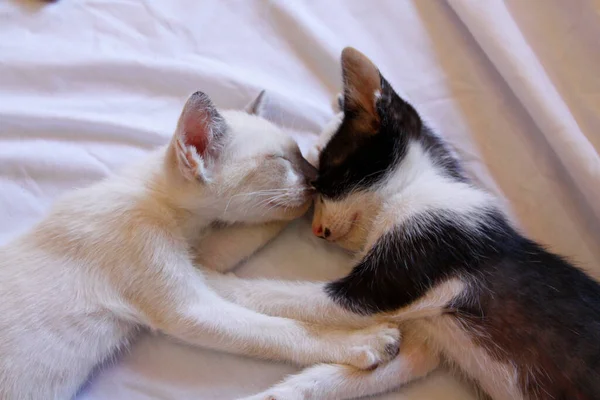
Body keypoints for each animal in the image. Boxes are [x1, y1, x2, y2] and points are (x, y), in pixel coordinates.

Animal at [1, 91, 404, 400]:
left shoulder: (202, 256)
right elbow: (280, 332)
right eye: (280, 161)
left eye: (300, 155)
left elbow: (258, 227)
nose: (317, 178)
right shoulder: (189, 308)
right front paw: (365, 344)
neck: (168, 211)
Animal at [210, 47, 600, 400]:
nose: (317, 230)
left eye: (325, 180)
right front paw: (278, 396)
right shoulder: (424, 342)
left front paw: (210, 278)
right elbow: (353, 375)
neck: (413, 189)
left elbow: (279, 292)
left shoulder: (389, 279)